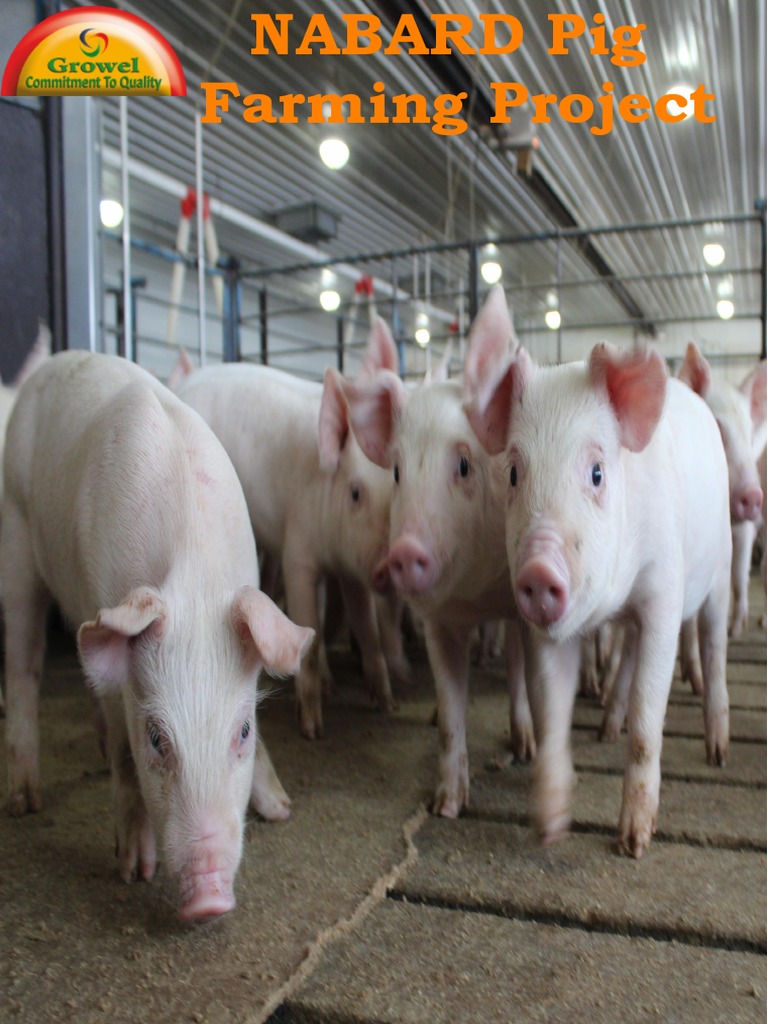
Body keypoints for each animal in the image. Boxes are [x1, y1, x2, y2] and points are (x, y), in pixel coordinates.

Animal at [2, 351, 313, 922]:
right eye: (155, 738)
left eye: (243, 731)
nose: (209, 900)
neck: (193, 580)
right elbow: (124, 754)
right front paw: (132, 871)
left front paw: (281, 810)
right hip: (14, 535)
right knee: (23, 661)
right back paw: (24, 802)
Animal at [176, 362, 394, 740]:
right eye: (355, 493)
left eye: (398, 486)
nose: (390, 564)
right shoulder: (298, 552)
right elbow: (311, 633)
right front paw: (312, 730)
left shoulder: (352, 570)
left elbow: (368, 631)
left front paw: (386, 705)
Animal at [339, 287, 534, 817]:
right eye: (397, 471)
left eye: (464, 464)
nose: (403, 552)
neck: (476, 592)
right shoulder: (436, 619)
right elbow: (450, 710)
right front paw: (446, 805)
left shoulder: (519, 603)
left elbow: (517, 671)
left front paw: (525, 747)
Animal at [463, 303, 732, 858]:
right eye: (514, 473)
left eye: (596, 473)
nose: (539, 570)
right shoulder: (547, 629)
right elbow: (552, 709)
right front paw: (548, 827)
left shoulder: (664, 595)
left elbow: (649, 718)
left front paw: (632, 844)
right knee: (625, 655)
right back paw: (607, 727)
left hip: (721, 566)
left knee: (714, 646)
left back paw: (717, 752)